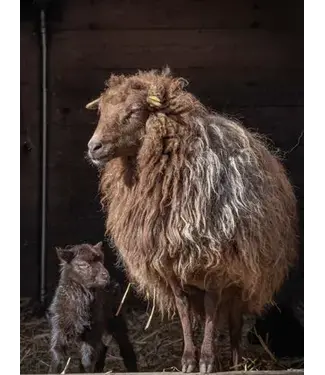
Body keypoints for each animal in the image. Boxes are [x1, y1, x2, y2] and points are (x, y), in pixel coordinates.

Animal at [47, 242, 137, 374]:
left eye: (101, 260)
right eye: (83, 265)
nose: (105, 275)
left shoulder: (93, 329)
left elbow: (88, 360)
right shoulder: (60, 326)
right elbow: (57, 354)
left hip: (115, 317)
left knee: (124, 343)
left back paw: (132, 367)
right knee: (103, 347)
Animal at [85, 67, 298, 374]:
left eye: (134, 111)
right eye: (101, 110)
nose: (94, 147)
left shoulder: (217, 263)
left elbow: (211, 309)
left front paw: (207, 360)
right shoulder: (169, 262)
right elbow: (183, 309)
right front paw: (188, 359)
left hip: (245, 272)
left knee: (234, 316)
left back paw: (236, 359)